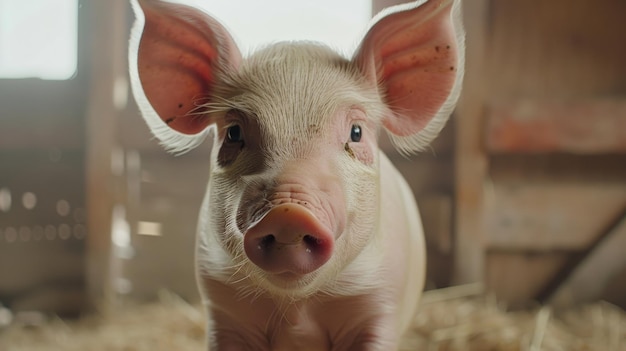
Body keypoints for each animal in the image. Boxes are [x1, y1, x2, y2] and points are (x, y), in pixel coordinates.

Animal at [127, 0, 460, 350]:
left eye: (356, 132)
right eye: (233, 133)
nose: (288, 211)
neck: (297, 306)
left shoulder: (379, 302)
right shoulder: (222, 302)